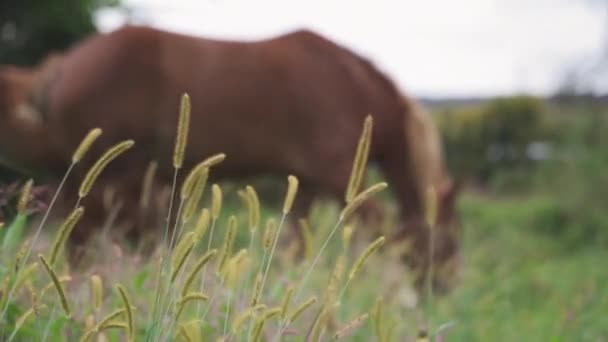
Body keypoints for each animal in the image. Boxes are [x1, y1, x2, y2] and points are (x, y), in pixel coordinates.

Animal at [0, 26, 460, 288]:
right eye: (452, 236)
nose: (444, 288)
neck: (352, 84)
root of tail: (62, 67)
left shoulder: (307, 184)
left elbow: (296, 245)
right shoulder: (340, 175)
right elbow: (384, 233)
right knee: (80, 236)